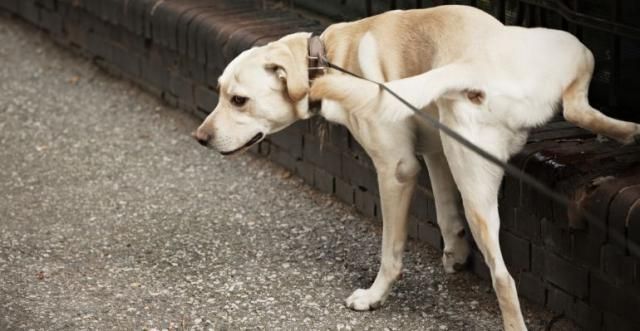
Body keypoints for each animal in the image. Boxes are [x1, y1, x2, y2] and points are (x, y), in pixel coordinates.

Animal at [194, 3, 640, 330]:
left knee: (503, 278)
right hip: (564, 59)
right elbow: (444, 211)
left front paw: (374, 296)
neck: (329, 55)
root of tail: (474, 64)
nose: (200, 138)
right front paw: (455, 252)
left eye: (238, 100)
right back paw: (628, 130)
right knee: (578, 109)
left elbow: (391, 251)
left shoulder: (397, 169)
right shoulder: (437, 151)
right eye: (219, 92)